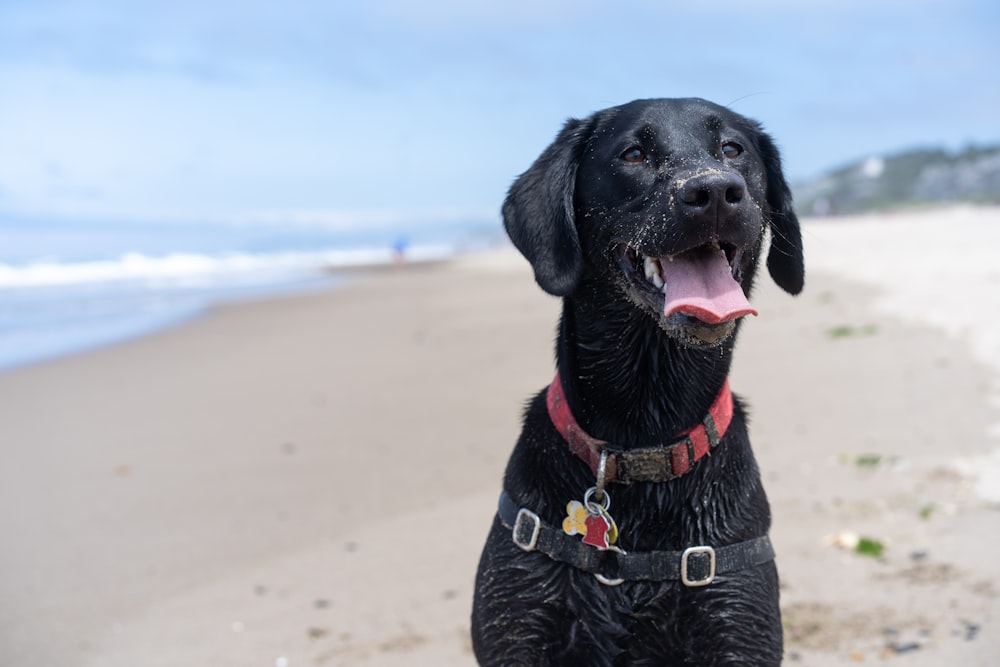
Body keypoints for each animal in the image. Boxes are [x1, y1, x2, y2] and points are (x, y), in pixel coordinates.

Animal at [468, 96, 804, 664]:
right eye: (634, 153)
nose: (715, 191)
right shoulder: (518, 625)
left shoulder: (735, 620)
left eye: (732, 148)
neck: (645, 429)